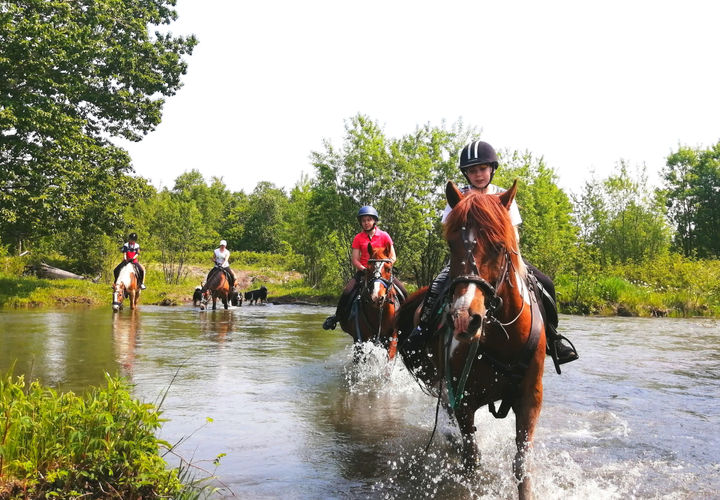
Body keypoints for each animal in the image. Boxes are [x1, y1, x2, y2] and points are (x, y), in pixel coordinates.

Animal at [396, 180, 544, 500]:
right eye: (451, 244)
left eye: (500, 246)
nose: (464, 318)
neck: (503, 339)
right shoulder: (462, 399)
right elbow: (471, 460)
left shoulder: (530, 398)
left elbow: (522, 464)